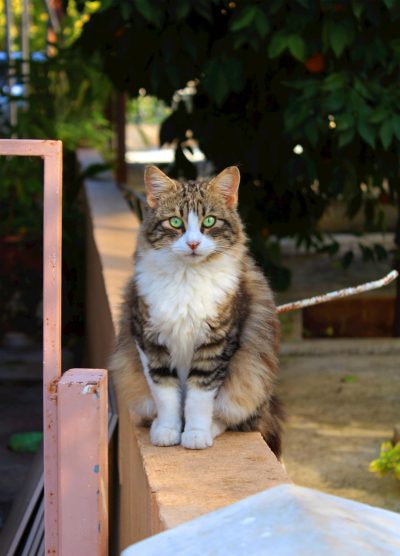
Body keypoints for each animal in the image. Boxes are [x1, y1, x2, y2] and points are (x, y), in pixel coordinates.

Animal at [109, 164, 282, 456]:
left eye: (209, 222)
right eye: (175, 223)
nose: (192, 244)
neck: (186, 278)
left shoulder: (216, 343)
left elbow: (199, 397)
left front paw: (196, 433)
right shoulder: (150, 341)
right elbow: (165, 394)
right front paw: (167, 430)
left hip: (253, 378)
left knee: (233, 416)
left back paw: (211, 427)